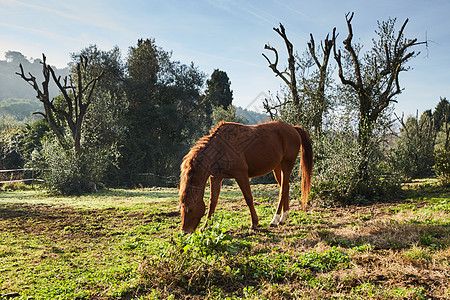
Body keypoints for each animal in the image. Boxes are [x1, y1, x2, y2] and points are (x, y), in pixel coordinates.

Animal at [178, 120, 312, 233]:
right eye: (181, 208)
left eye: (190, 209)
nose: (185, 231)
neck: (220, 148)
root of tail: (293, 128)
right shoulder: (216, 177)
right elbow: (213, 201)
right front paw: (206, 226)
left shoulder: (241, 174)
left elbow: (248, 198)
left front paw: (254, 224)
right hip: (277, 168)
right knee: (286, 188)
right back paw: (284, 217)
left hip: (287, 165)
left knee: (283, 190)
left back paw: (275, 219)